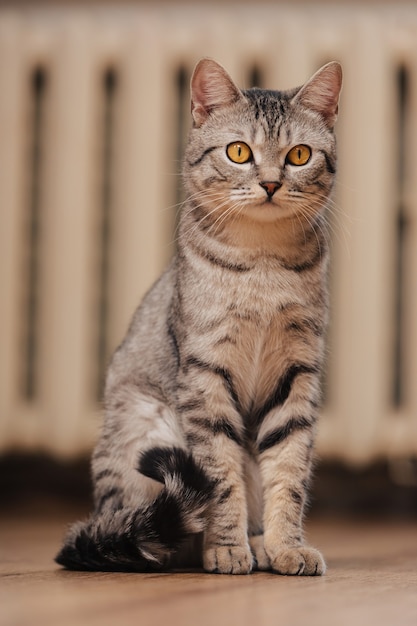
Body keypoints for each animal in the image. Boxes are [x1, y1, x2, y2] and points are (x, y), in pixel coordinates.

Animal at [55, 56, 342, 572]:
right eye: (238, 151)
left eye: (299, 155)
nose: (271, 183)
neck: (263, 265)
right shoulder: (205, 374)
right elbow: (220, 475)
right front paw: (227, 547)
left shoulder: (298, 372)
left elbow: (288, 471)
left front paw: (286, 546)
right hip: (145, 426)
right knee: (156, 535)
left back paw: (261, 545)